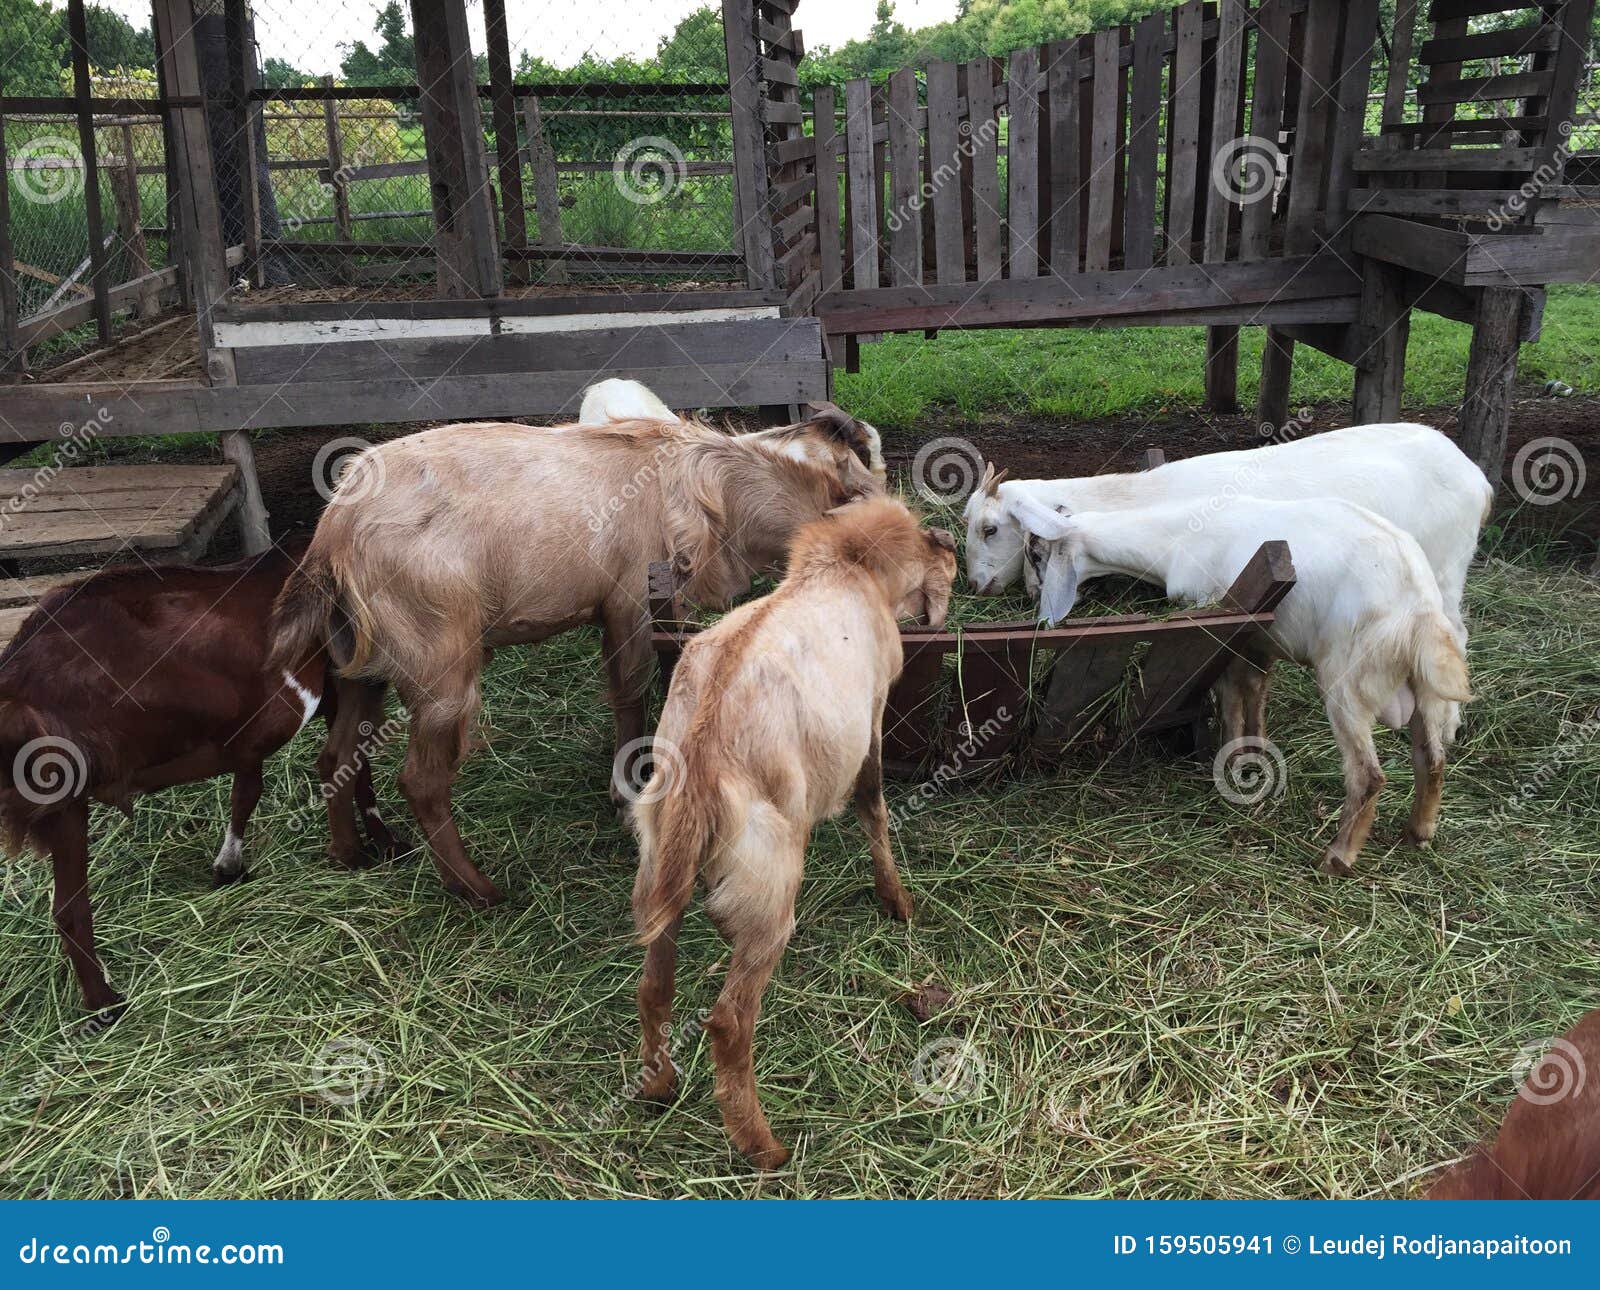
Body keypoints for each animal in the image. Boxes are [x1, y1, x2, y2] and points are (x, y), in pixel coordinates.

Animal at [0, 550, 398, 1024]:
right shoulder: (342, 680)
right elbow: (352, 760)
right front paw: (381, 841)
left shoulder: (251, 734)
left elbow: (249, 787)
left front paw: (229, 866)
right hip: (63, 799)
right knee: (70, 909)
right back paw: (105, 1004)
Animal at [268, 412, 883, 909]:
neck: (716, 489)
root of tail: (332, 534)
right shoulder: (629, 605)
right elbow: (630, 694)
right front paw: (625, 791)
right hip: (438, 663)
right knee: (420, 781)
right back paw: (479, 891)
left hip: (360, 665)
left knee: (335, 756)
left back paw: (353, 853)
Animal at [627, 499, 953, 1177]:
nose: (955, 559)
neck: (844, 568)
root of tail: (701, 758)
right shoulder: (873, 714)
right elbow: (873, 805)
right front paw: (897, 902)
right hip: (771, 887)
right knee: (729, 1021)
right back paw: (763, 1147)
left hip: (659, 871)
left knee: (653, 986)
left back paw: (659, 1086)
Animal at [1011, 496, 1472, 877]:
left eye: (1036, 553)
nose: (1031, 598)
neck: (1174, 537)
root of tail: (1418, 611)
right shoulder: (1261, 639)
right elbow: (1256, 692)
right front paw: (1254, 753)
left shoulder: (1220, 620)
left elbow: (1229, 696)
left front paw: (1230, 761)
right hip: (1426, 691)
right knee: (1432, 758)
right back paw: (1418, 833)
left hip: (1347, 680)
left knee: (1368, 774)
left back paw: (1336, 857)